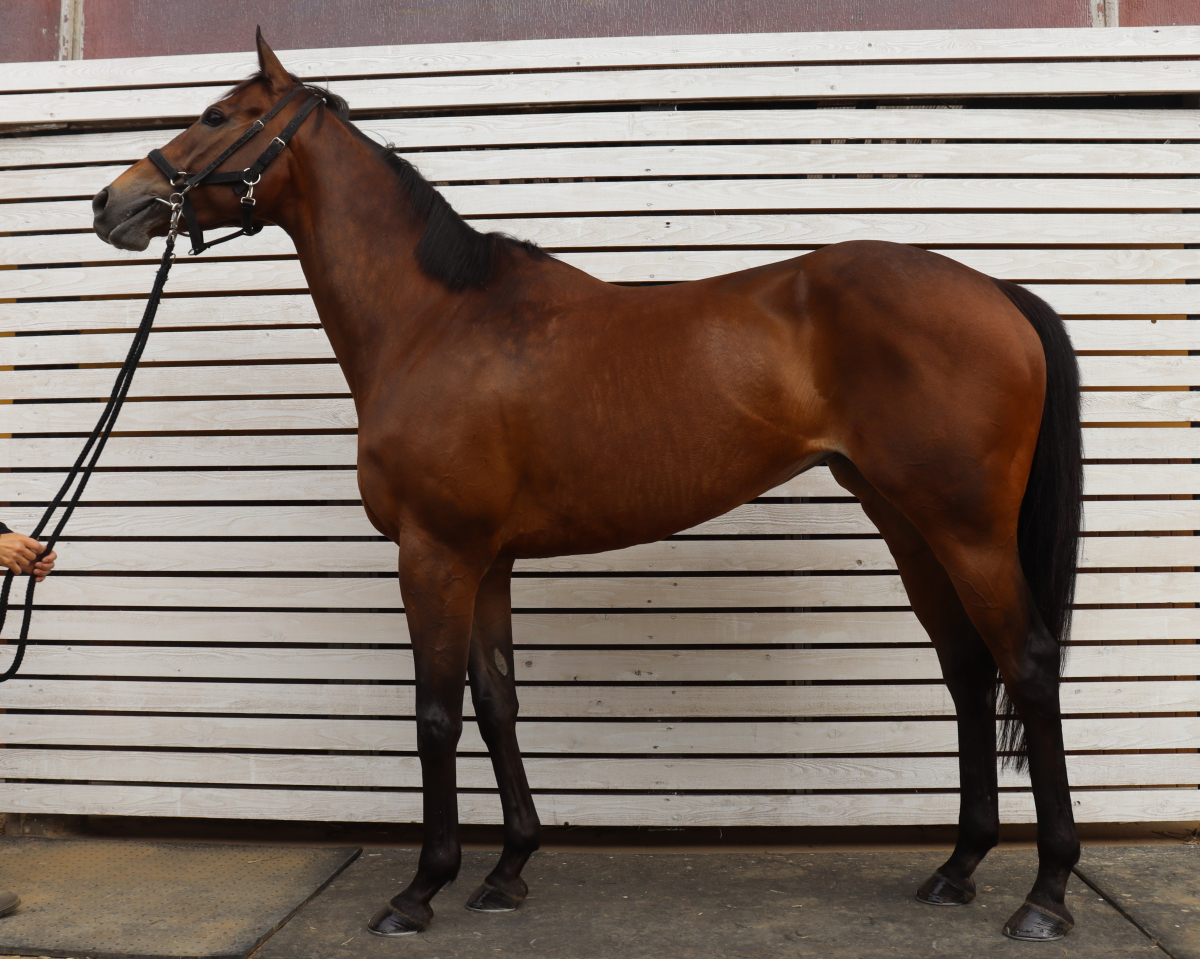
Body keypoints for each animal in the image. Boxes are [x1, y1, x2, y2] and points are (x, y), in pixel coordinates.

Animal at [91, 30, 1083, 943]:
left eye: (217, 115)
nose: (113, 201)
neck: (435, 320)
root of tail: (996, 290)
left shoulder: (435, 552)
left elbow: (436, 714)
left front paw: (421, 888)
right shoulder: (487, 560)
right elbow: (498, 703)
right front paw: (507, 870)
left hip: (968, 529)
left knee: (1028, 662)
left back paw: (1045, 894)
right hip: (910, 523)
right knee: (967, 669)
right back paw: (957, 867)